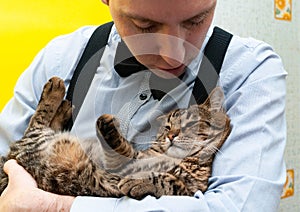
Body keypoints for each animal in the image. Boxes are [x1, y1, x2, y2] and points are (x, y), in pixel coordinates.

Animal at [0, 77, 231, 200]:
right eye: (167, 128)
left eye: (190, 125)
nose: (171, 136)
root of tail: (12, 155)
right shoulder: (127, 158)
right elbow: (124, 148)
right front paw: (107, 126)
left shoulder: (189, 192)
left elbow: (166, 181)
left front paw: (137, 182)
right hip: (36, 139)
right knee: (38, 119)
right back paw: (58, 94)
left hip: (37, 141)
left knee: (39, 119)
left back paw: (58, 98)